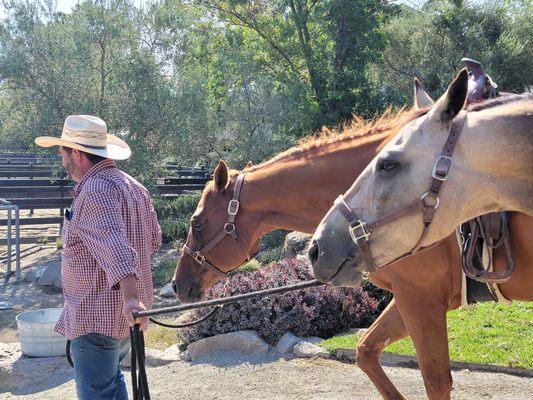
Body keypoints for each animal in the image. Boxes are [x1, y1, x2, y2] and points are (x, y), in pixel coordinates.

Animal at [172, 74, 528, 396]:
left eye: (196, 222)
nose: (177, 284)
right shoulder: (410, 300)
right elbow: (365, 352)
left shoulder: (420, 299)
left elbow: (435, 381)